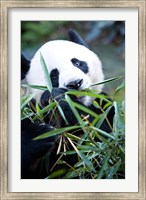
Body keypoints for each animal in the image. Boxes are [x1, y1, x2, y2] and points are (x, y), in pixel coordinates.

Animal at [20, 29, 114, 180]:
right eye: (53, 76)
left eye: (77, 63)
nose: (75, 83)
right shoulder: (29, 112)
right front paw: (38, 135)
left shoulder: (105, 106)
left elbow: (104, 139)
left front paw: (59, 97)